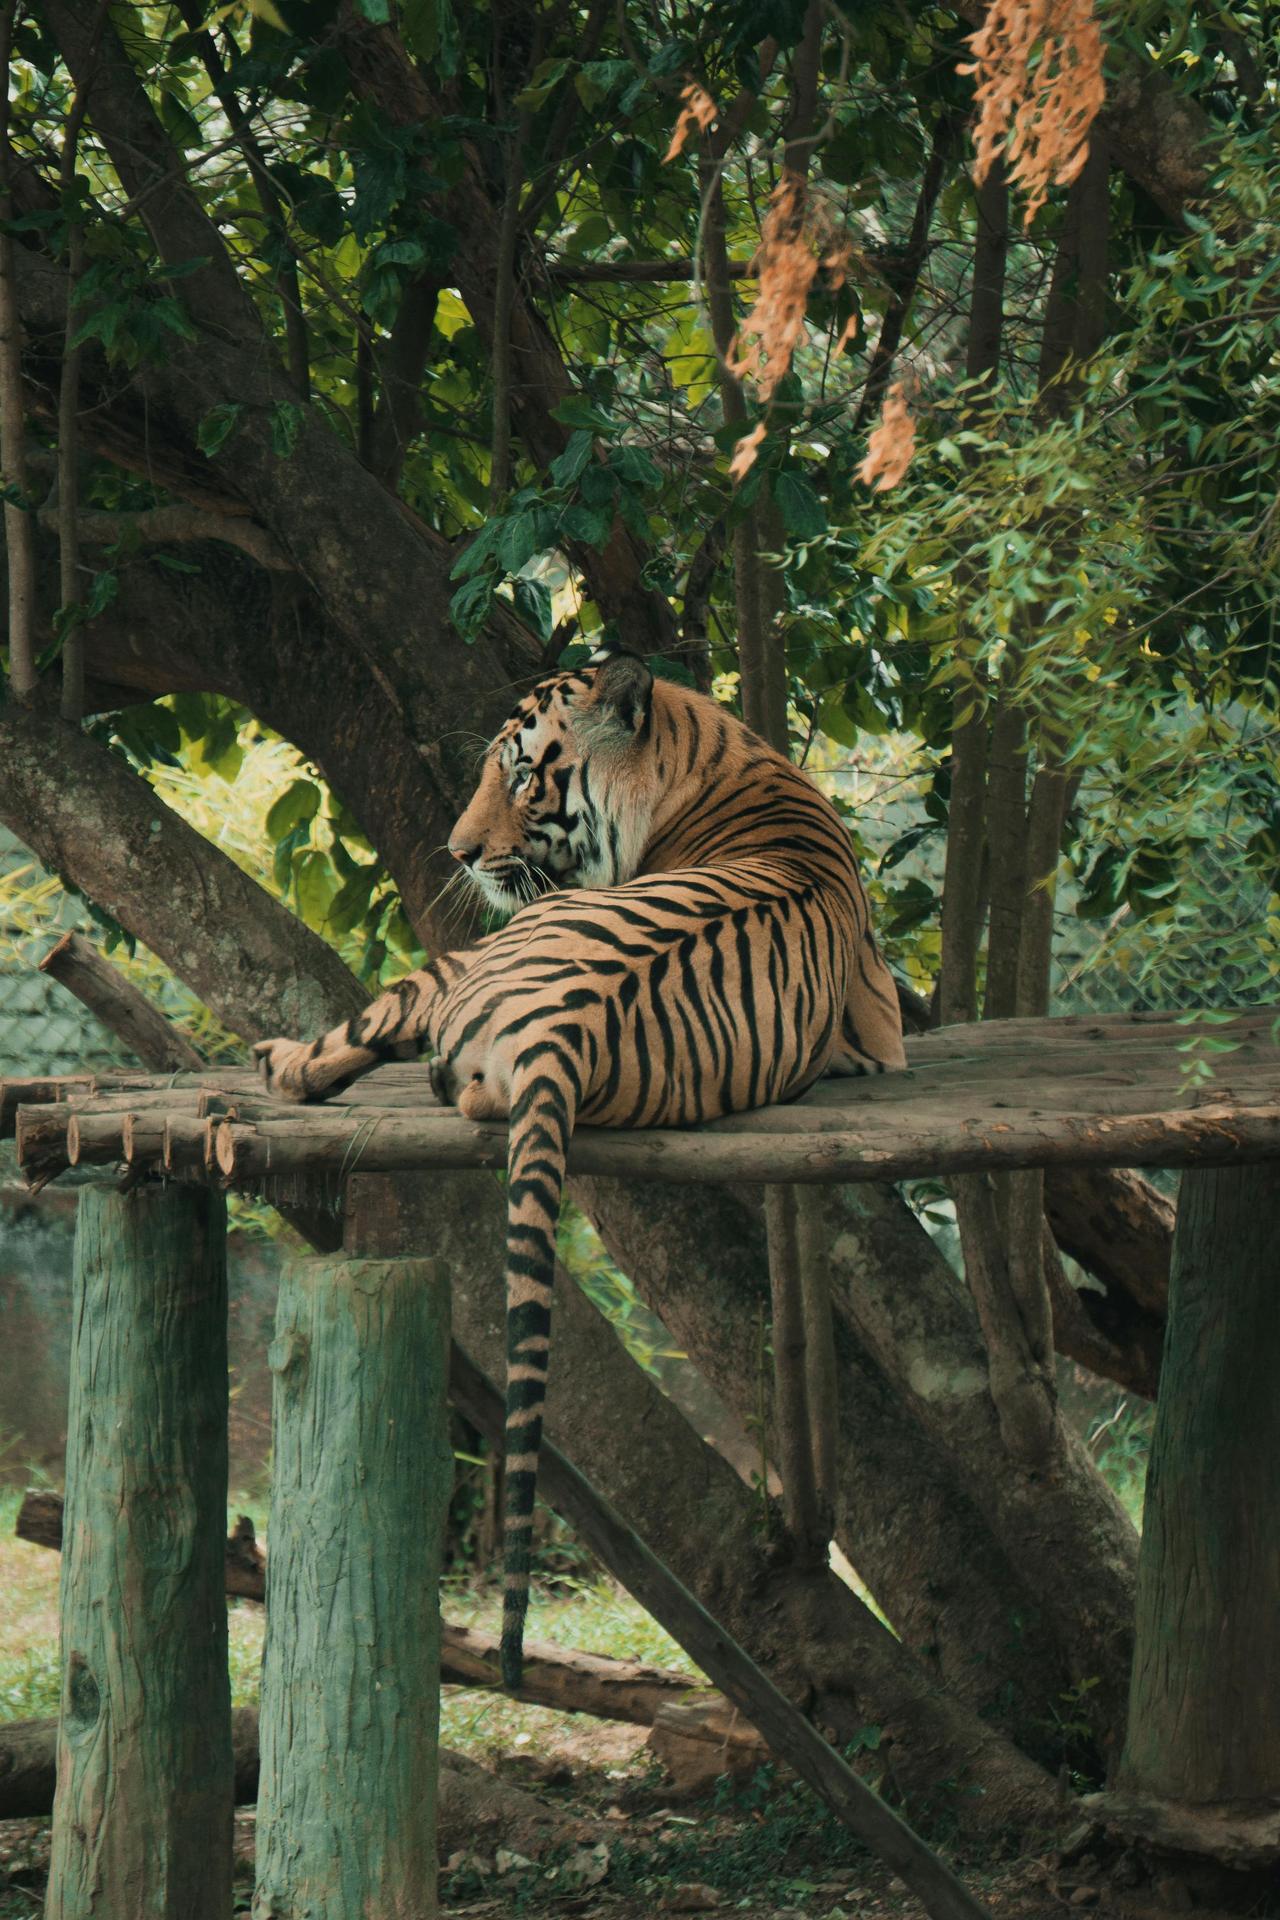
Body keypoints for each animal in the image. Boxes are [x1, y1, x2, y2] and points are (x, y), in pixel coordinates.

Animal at [254, 643, 905, 1685]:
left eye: (524, 775)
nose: (456, 852)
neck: (717, 757)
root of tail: (568, 1026)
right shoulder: (881, 1033)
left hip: (471, 957)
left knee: (366, 1031)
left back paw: (277, 1061)